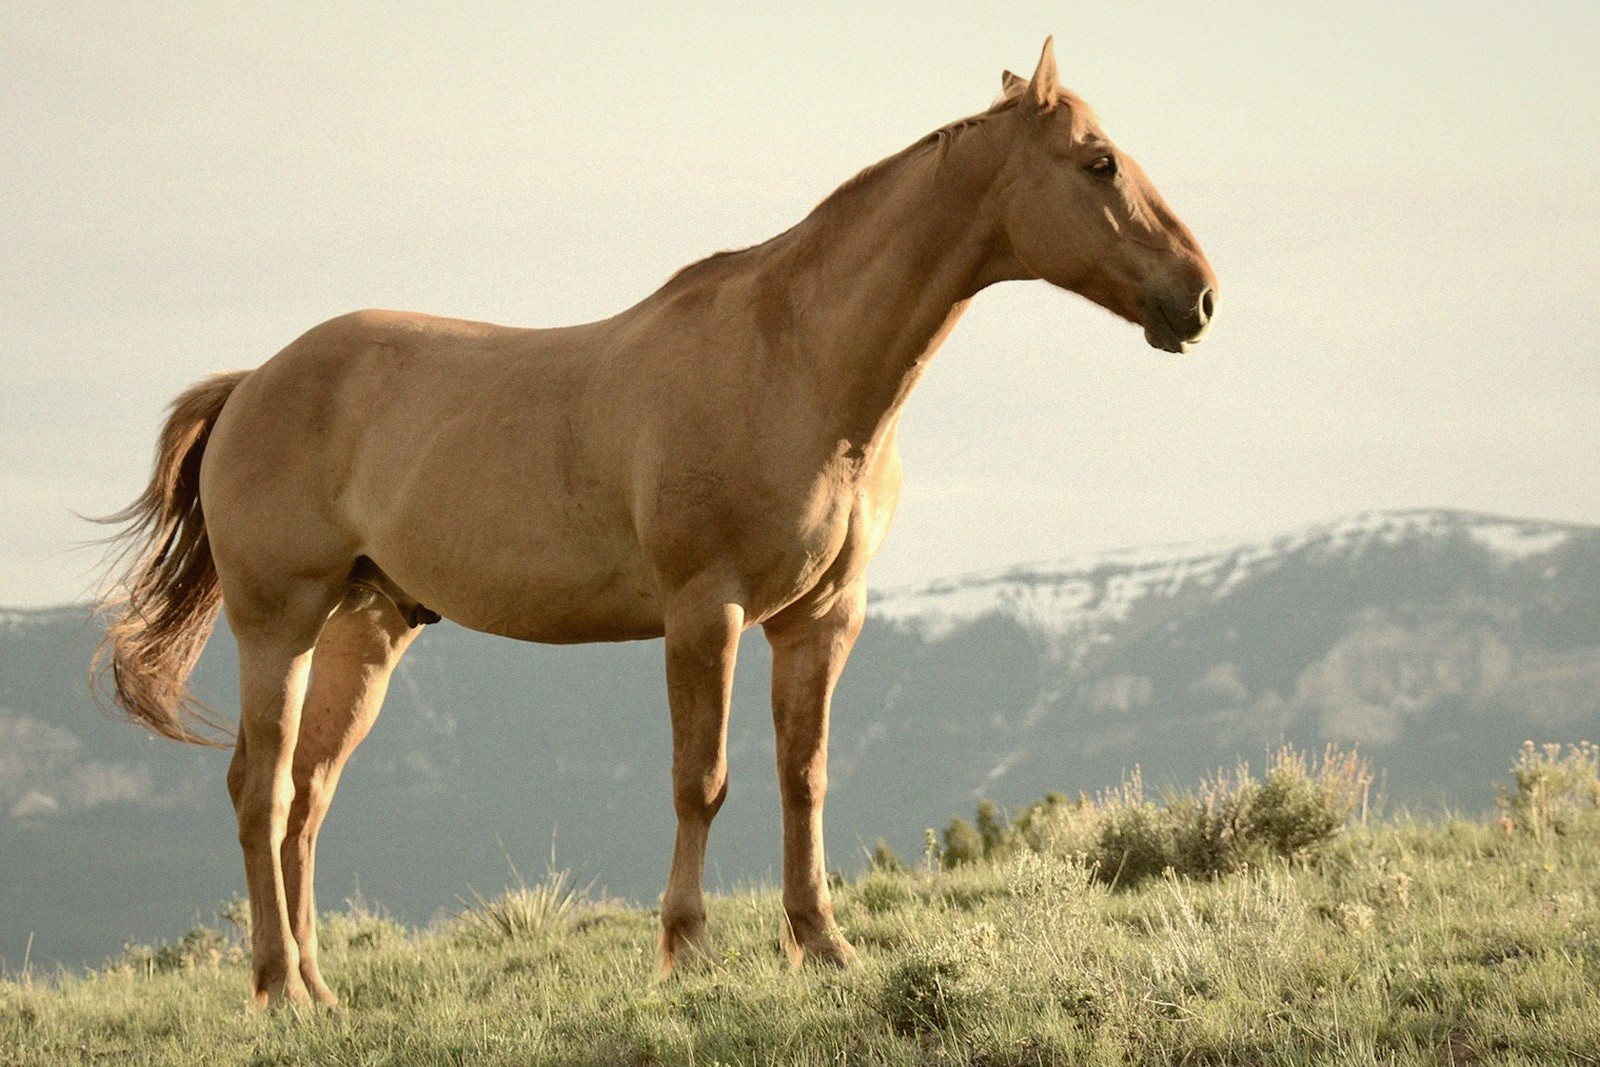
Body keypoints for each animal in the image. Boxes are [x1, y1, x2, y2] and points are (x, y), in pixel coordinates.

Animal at [95, 38, 1215, 1008]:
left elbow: (803, 776)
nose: (1199, 297)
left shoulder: (821, 619)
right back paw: (279, 988)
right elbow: (701, 780)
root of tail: (253, 382)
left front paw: (822, 943)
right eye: (1098, 161)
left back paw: (320, 988)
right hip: (278, 621)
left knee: (308, 796)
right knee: (262, 789)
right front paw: (688, 949)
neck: (795, 360)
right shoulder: (703, 612)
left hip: (363, 628)